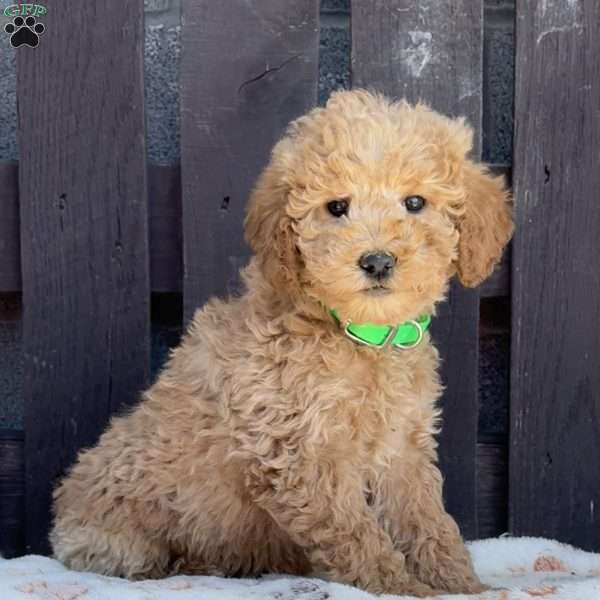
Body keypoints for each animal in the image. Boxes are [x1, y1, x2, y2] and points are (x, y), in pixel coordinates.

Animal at [50, 91, 510, 596]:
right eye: (336, 207)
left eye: (414, 202)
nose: (376, 261)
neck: (359, 336)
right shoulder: (304, 454)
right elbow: (357, 533)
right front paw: (398, 586)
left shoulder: (404, 448)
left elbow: (428, 521)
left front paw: (460, 584)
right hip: (120, 534)